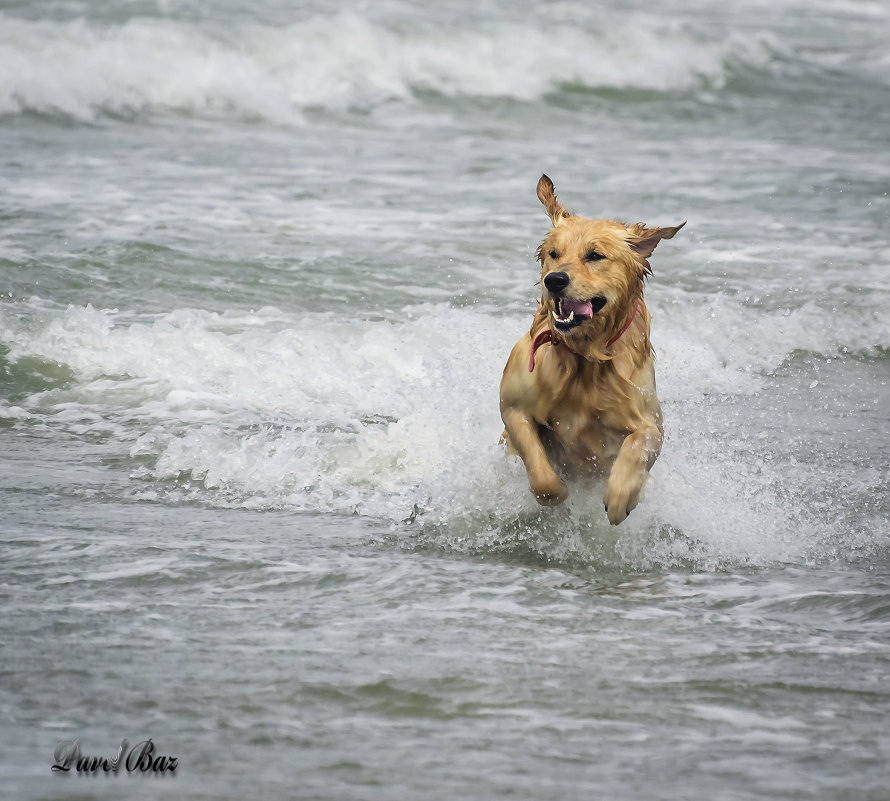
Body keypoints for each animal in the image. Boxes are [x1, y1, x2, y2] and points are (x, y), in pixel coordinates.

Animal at [500, 175, 680, 524]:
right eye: (554, 253)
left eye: (595, 256)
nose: (554, 280)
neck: (586, 358)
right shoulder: (513, 406)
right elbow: (543, 477)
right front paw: (557, 492)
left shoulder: (650, 421)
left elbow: (639, 443)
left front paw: (621, 499)